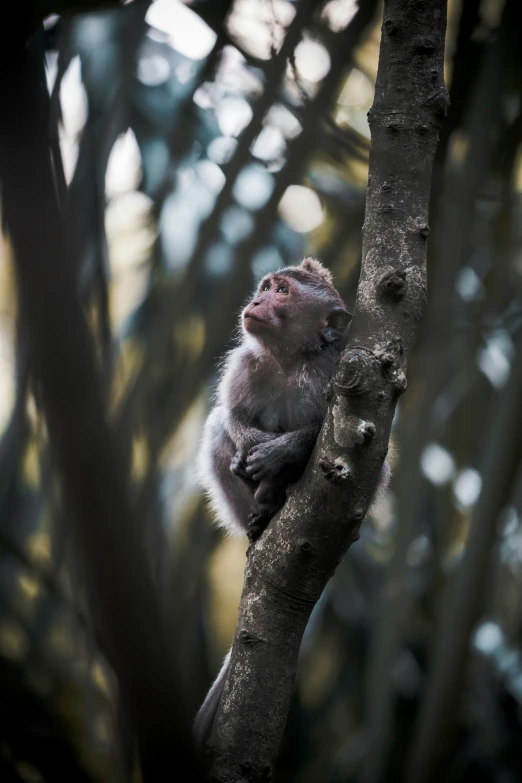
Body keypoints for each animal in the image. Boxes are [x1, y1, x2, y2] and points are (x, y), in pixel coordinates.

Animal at [193, 258, 388, 748]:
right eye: (266, 287)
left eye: (281, 291)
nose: (257, 300)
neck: (288, 359)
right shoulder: (245, 363)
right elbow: (232, 417)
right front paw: (250, 450)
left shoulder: (337, 368)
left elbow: (341, 435)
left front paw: (279, 455)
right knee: (217, 429)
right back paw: (262, 512)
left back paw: (274, 487)